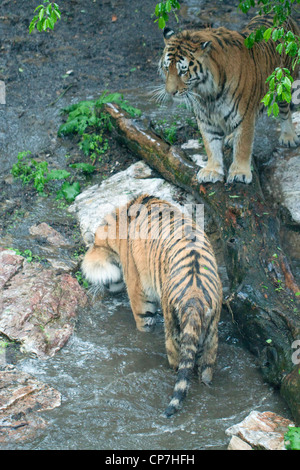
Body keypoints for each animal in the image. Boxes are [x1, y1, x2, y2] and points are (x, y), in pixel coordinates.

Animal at [81, 194, 221, 414]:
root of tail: (194, 296)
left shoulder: (139, 290)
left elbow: (143, 323)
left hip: (173, 327)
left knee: (177, 361)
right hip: (211, 332)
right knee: (206, 368)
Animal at [158, 14, 298, 184]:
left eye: (183, 71)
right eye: (166, 68)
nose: (170, 92)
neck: (208, 94)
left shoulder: (244, 114)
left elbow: (243, 145)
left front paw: (240, 173)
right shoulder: (205, 118)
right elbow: (211, 144)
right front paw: (212, 170)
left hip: (284, 85)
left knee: (285, 112)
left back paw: (289, 137)